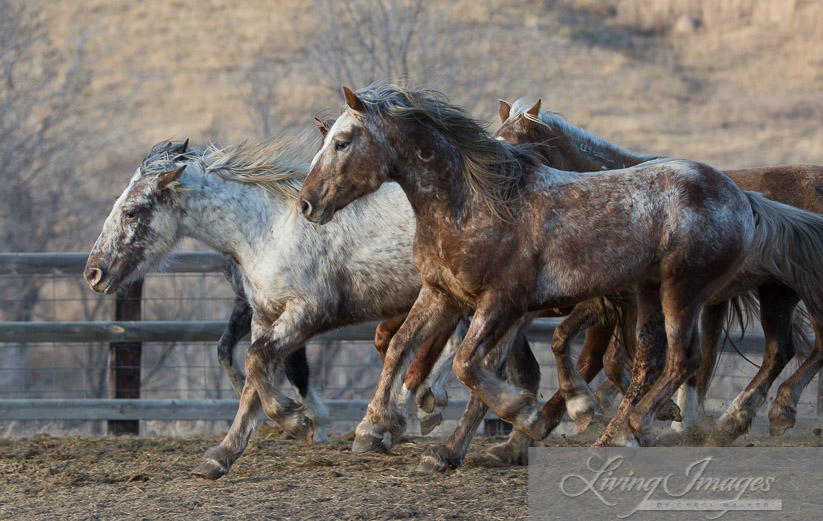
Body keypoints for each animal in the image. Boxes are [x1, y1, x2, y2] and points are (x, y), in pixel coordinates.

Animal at [296, 83, 760, 444]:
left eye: (342, 142)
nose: (307, 204)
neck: (470, 206)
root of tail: (738, 196)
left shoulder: (503, 302)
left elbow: (467, 363)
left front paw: (526, 414)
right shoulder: (442, 294)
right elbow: (398, 347)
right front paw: (372, 428)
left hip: (682, 290)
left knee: (682, 360)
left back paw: (633, 423)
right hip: (647, 293)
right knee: (650, 361)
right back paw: (620, 433)